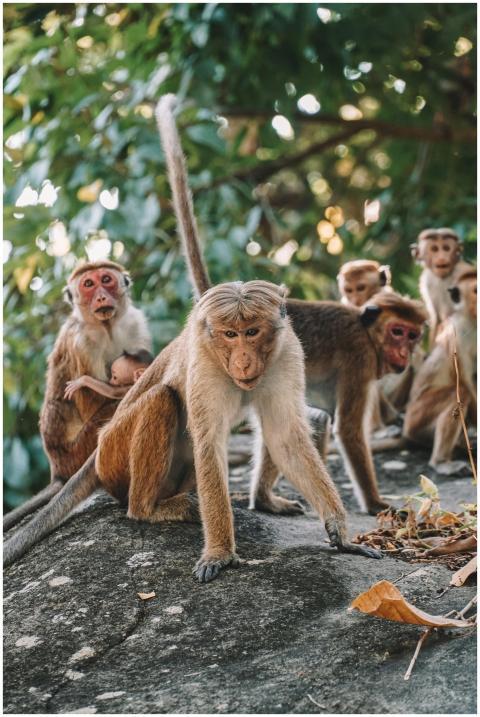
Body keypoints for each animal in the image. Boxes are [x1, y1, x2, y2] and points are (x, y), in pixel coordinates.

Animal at [3, 261, 152, 532]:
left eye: (106, 279)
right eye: (88, 284)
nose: (101, 296)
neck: (106, 327)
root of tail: (59, 470)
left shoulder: (136, 324)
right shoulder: (82, 342)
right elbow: (93, 401)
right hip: (78, 449)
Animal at [403, 269, 477, 475]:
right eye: (476, 290)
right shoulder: (457, 334)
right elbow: (465, 379)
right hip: (417, 417)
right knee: (460, 394)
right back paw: (441, 461)